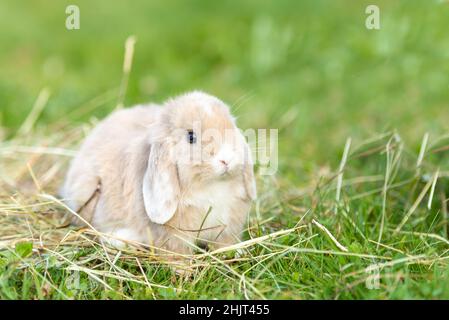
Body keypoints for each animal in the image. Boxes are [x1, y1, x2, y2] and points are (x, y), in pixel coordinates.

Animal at [60, 91, 256, 256]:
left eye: (231, 126)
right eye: (191, 137)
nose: (226, 159)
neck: (211, 187)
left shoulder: (227, 230)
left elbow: (225, 243)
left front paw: (235, 253)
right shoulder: (174, 237)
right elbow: (177, 254)